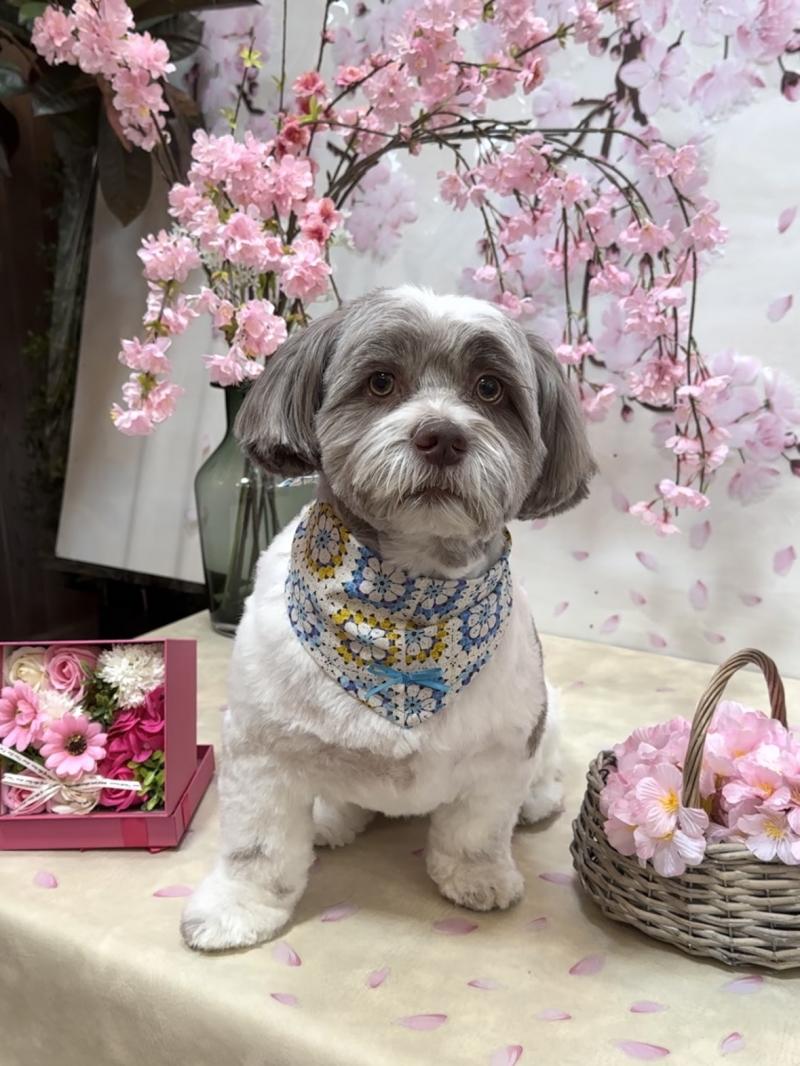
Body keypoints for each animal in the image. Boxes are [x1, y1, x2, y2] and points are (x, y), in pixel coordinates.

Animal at [181, 285, 595, 951]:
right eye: (380, 382)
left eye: (489, 389)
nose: (443, 436)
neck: (406, 620)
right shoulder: (262, 751)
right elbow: (256, 849)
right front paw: (235, 909)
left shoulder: (502, 751)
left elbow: (476, 830)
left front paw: (477, 877)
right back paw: (332, 819)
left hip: (548, 714)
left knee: (537, 778)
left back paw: (538, 802)